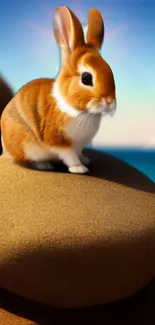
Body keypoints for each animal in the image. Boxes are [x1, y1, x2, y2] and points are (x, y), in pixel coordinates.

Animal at [0, 5, 116, 173]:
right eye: (86, 78)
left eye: (110, 70)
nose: (110, 102)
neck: (74, 108)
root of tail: (6, 149)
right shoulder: (58, 141)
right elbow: (69, 155)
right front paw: (79, 168)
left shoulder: (78, 145)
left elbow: (78, 153)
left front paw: (85, 160)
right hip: (27, 146)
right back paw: (44, 165)